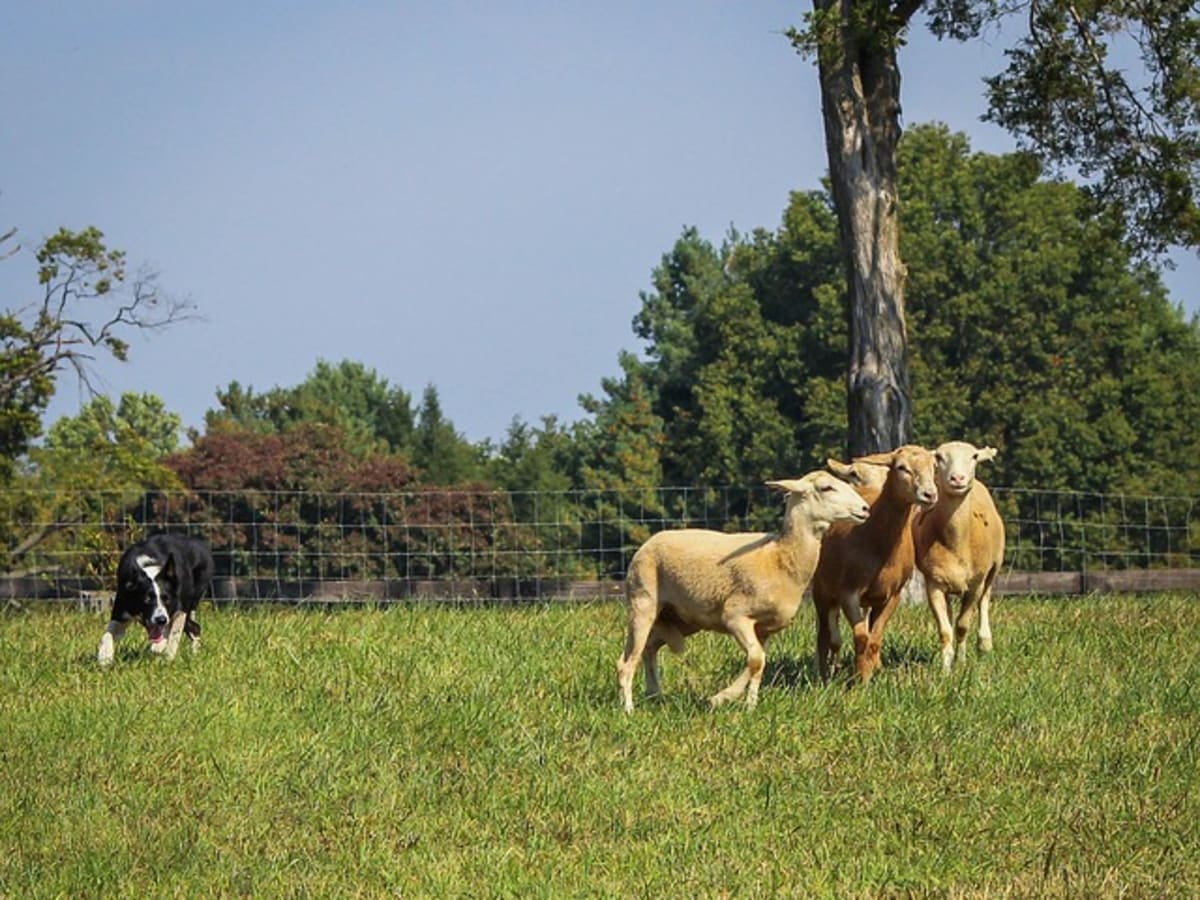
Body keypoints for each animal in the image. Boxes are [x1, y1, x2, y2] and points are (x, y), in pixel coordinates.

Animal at [97, 535, 213, 672]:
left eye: (167, 599)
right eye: (146, 599)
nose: (161, 620)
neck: (149, 568)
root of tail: (200, 543)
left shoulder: (178, 610)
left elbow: (170, 635)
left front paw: (160, 649)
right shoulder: (122, 612)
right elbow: (107, 635)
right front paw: (104, 658)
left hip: (189, 603)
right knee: (195, 627)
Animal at [619, 472, 873, 710]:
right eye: (826, 487)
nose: (865, 509)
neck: (779, 557)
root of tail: (649, 542)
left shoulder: (766, 629)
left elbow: (758, 662)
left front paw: (748, 705)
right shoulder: (735, 616)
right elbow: (756, 659)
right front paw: (723, 698)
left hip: (682, 618)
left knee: (649, 648)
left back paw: (655, 695)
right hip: (643, 602)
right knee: (626, 662)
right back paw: (629, 709)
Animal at [912, 441, 1008, 672]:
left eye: (974, 456)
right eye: (938, 457)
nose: (957, 478)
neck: (956, 543)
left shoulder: (975, 584)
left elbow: (963, 626)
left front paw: (962, 663)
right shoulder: (934, 583)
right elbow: (945, 630)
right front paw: (946, 669)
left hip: (995, 565)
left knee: (985, 600)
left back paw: (985, 644)